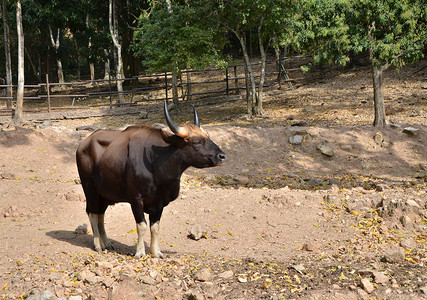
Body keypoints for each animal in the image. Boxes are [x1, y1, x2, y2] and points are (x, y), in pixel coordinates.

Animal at [76, 103, 227, 258]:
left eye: (207, 137)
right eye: (196, 142)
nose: (221, 156)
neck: (157, 165)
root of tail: (83, 145)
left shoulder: (159, 202)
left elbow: (155, 227)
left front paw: (156, 252)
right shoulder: (135, 200)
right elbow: (141, 226)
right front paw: (140, 252)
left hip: (104, 195)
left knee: (100, 214)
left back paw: (107, 243)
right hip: (90, 190)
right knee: (92, 213)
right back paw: (98, 245)